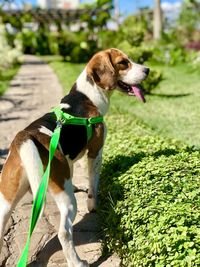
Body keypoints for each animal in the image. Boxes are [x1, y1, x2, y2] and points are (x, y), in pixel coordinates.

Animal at [0, 48, 148, 267]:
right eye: (124, 63)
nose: (147, 70)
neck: (87, 95)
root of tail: (24, 136)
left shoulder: (67, 160)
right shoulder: (96, 153)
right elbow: (93, 185)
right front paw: (93, 206)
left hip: (7, 198)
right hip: (66, 200)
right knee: (64, 232)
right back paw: (77, 262)